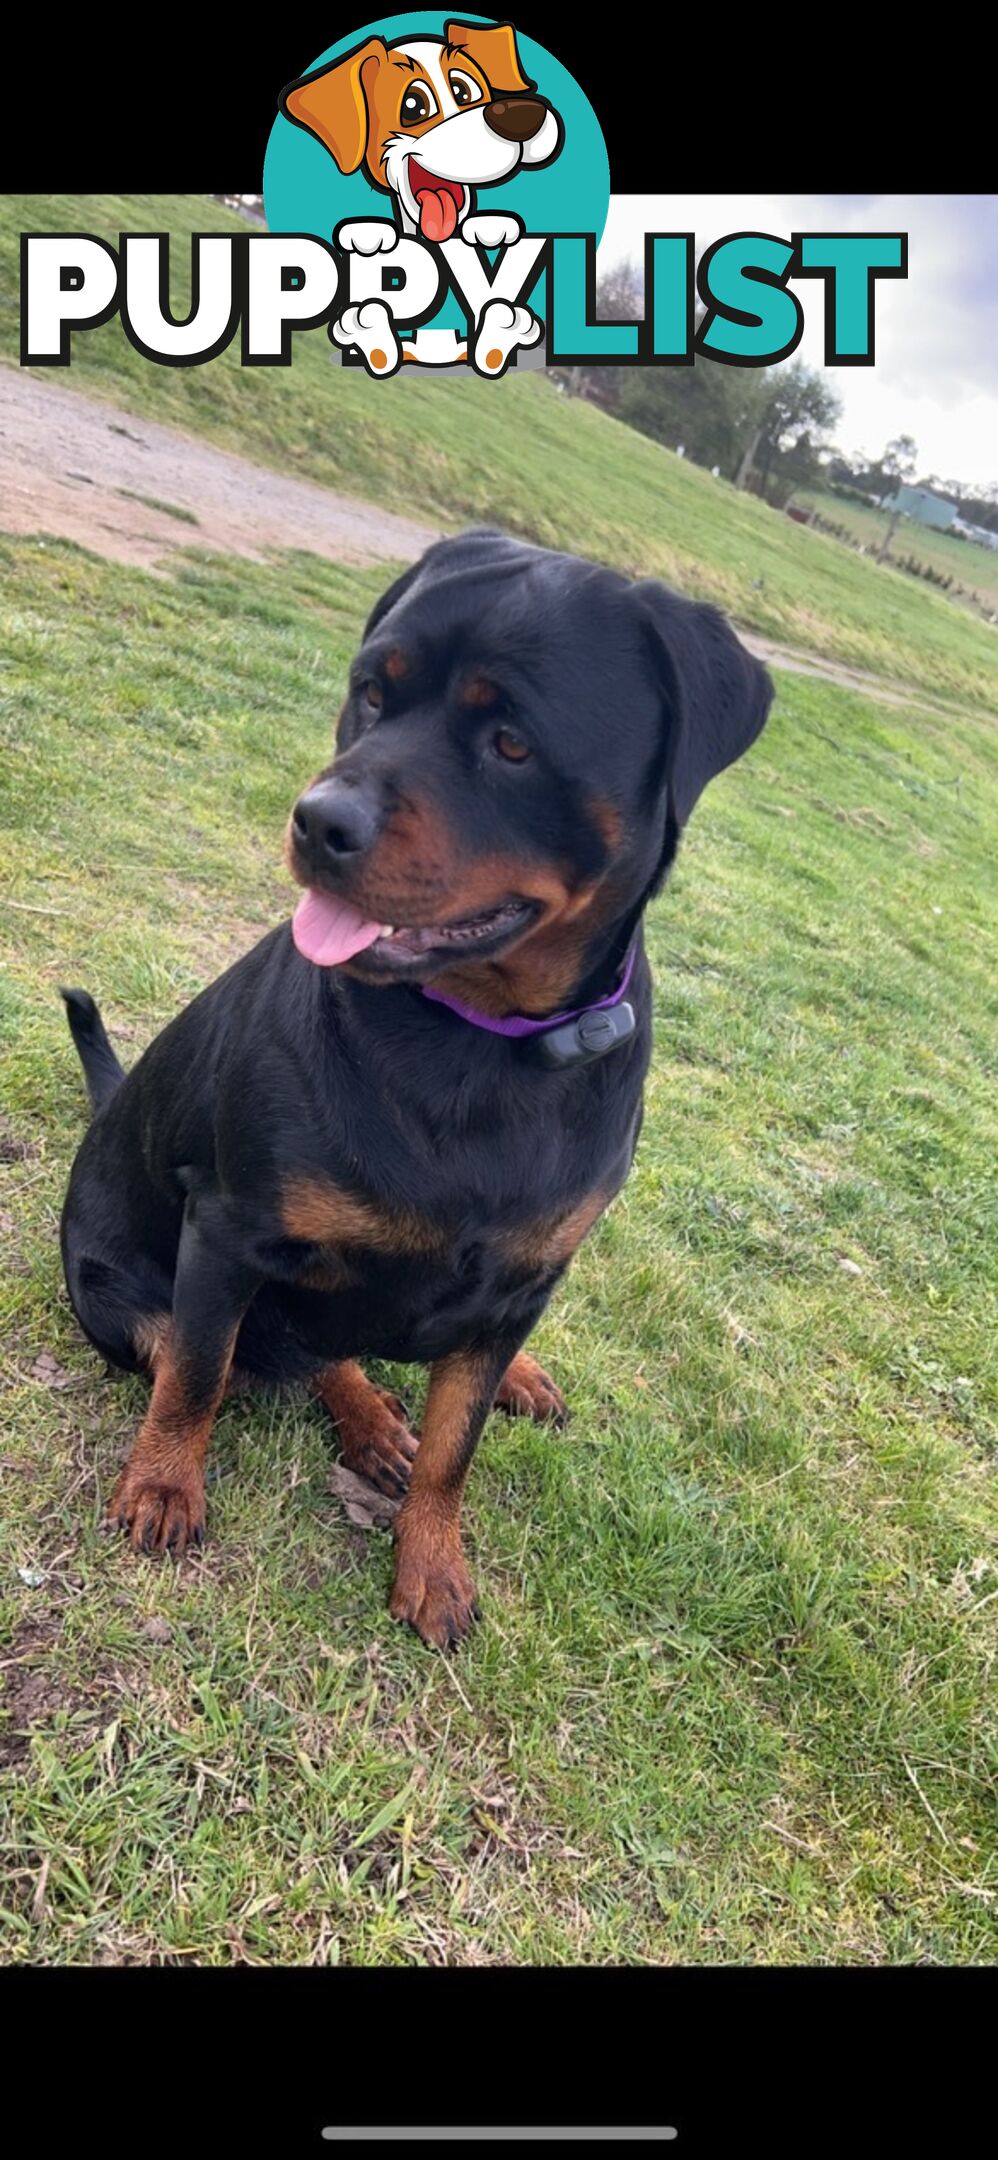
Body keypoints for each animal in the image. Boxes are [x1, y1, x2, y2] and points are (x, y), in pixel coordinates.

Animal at [58, 531, 773, 1641]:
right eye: (371, 696)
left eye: (512, 743)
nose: (317, 821)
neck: (479, 1043)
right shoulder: (225, 1228)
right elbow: (197, 1376)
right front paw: (164, 1486)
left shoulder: (530, 1275)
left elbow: (453, 1448)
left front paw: (432, 1562)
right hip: (114, 1291)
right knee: (245, 1350)